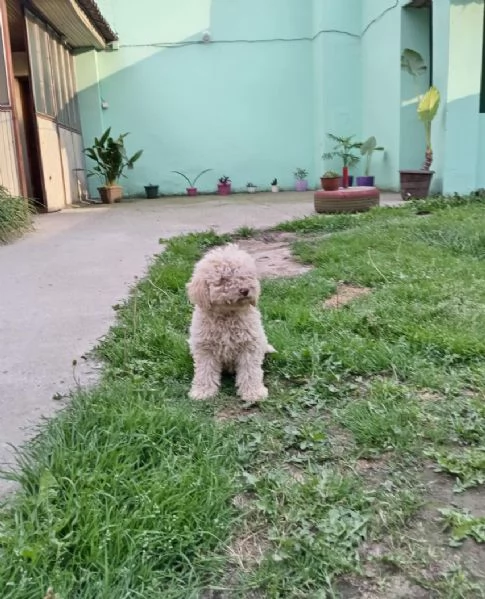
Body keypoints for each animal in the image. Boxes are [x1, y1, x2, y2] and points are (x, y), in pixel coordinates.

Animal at [186, 244, 274, 404]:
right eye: (223, 279)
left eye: (246, 275)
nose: (245, 290)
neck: (227, 315)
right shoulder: (205, 348)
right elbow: (204, 371)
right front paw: (203, 392)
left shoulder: (249, 346)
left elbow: (250, 371)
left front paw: (254, 393)